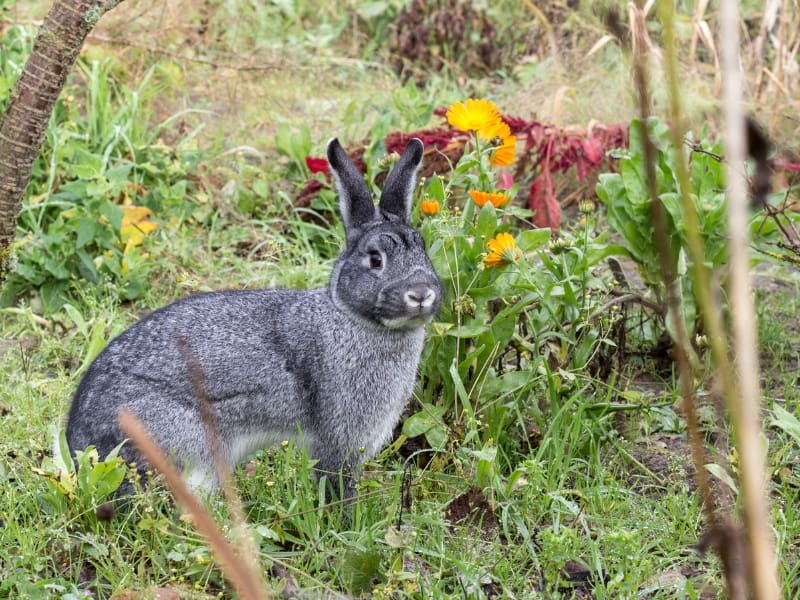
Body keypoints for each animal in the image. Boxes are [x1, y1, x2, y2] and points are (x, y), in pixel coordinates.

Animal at [67, 137, 444, 496]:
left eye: (423, 249)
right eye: (375, 259)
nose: (421, 293)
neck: (354, 318)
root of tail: (81, 451)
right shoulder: (338, 441)